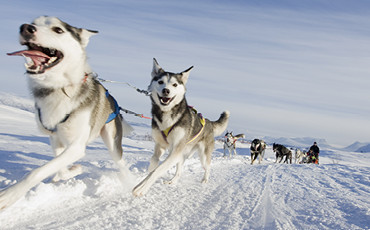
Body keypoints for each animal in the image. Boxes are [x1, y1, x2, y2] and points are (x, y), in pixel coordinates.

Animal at [0, 16, 132, 210]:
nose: (26, 28)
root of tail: (115, 104)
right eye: (35, 22)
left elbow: (36, 172)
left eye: (58, 30)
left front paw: (8, 195)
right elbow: (59, 168)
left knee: (122, 165)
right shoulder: (56, 138)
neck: (59, 88)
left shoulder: (76, 146)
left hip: (112, 141)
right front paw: (72, 170)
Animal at [133, 58, 230, 196]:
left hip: (202, 156)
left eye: (174, 85)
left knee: (207, 167)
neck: (167, 115)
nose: (166, 91)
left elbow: (159, 169)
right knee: (179, 171)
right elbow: (154, 161)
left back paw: (205, 180)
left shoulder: (175, 150)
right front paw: (147, 173)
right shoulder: (160, 145)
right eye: (160, 82)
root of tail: (209, 122)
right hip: (181, 154)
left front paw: (142, 188)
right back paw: (172, 181)